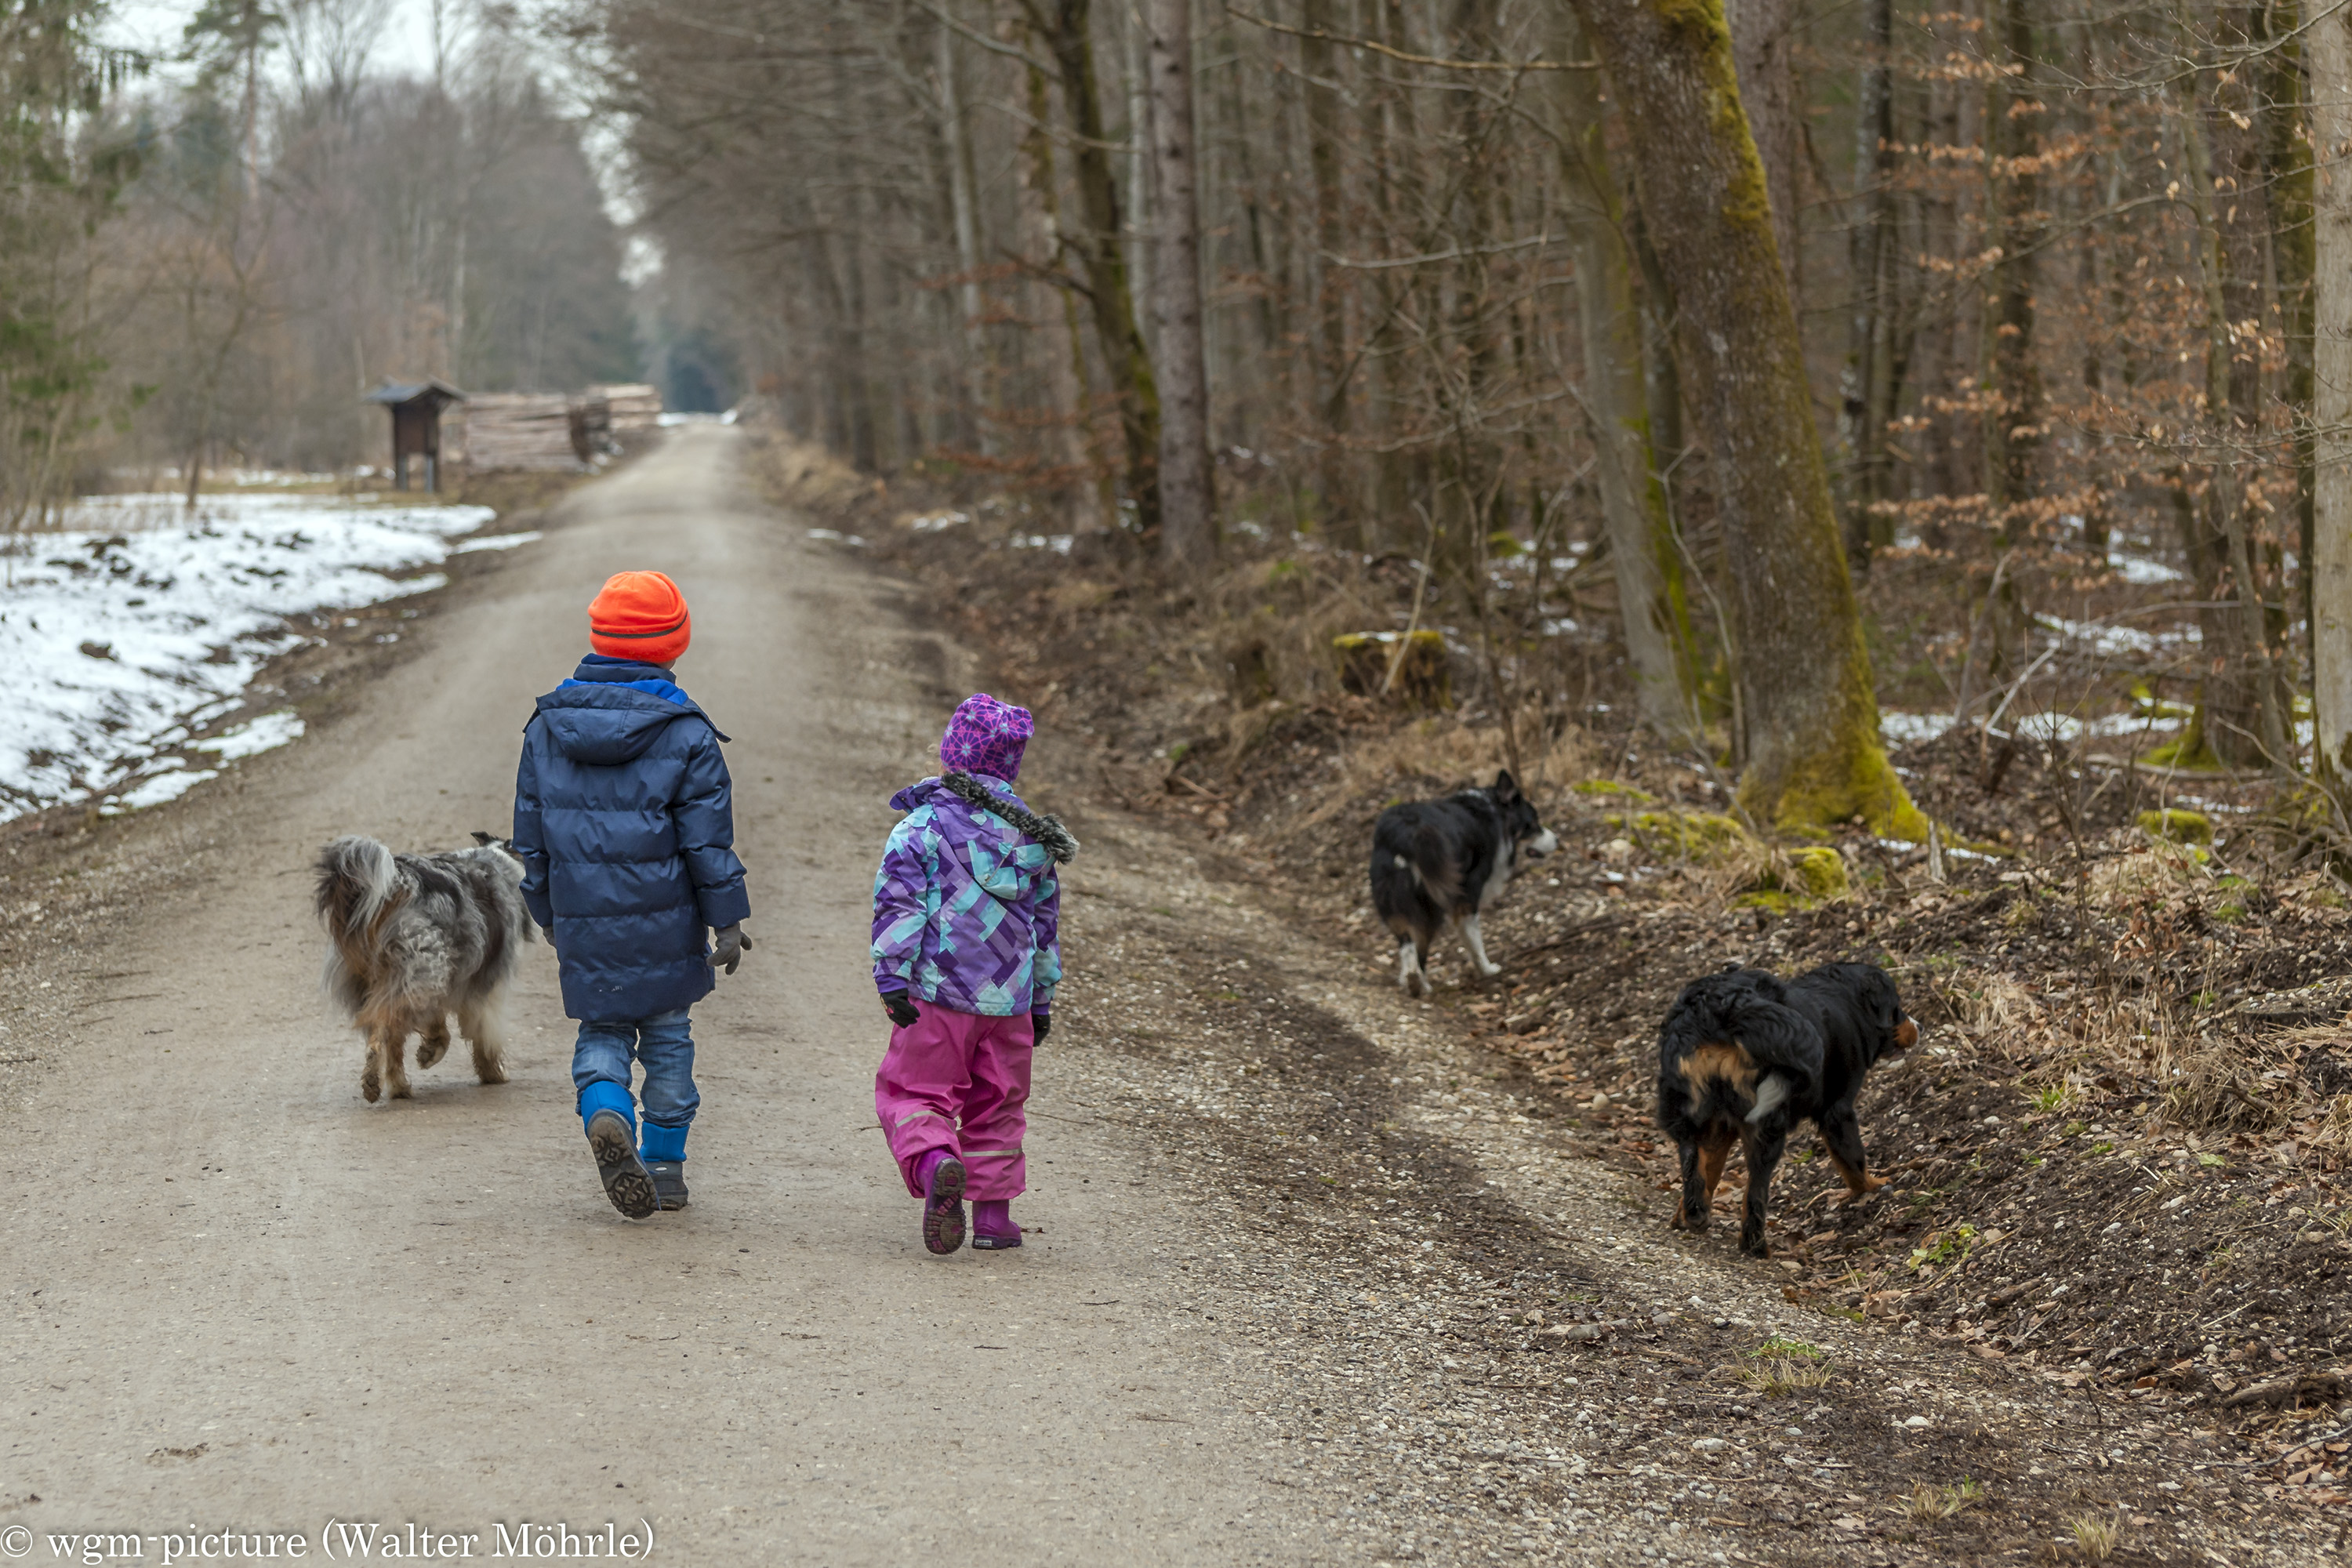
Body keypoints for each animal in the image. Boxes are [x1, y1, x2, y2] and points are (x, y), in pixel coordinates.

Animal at [314, 832, 534, 1102]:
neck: (500, 858)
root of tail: (398, 882)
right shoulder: (486, 987)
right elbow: (483, 1034)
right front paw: (493, 1072)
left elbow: (435, 1023)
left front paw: (430, 1049)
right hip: (420, 970)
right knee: (387, 1026)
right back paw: (382, 1075)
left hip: (383, 979)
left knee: (390, 1033)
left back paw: (392, 1085)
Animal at [1370, 769, 1558, 997]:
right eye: (1534, 823)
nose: (1557, 840)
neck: (1494, 812)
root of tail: (1403, 833)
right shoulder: (1468, 895)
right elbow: (1474, 939)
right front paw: (1487, 969)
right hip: (1429, 907)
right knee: (1420, 947)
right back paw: (1423, 985)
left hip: (1393, 901)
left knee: (1407, 944)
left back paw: (1410, 981)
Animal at [1654, 962, 1918, 1257]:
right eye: (1897, 1008)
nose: (1918, 1026)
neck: (1847, 1000)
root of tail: (1725, 1005)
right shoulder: (1837, 1110)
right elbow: (1854, 1160)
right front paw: (1873, 1188)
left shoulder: (1722, 1126)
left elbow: (1709, 1171)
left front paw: (1690, 1216)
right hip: (1768, 1125)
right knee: (1755, 1191)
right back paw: (1756, 1247)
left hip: (1690, 1109)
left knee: (1691, 1159)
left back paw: (1693, 1215)